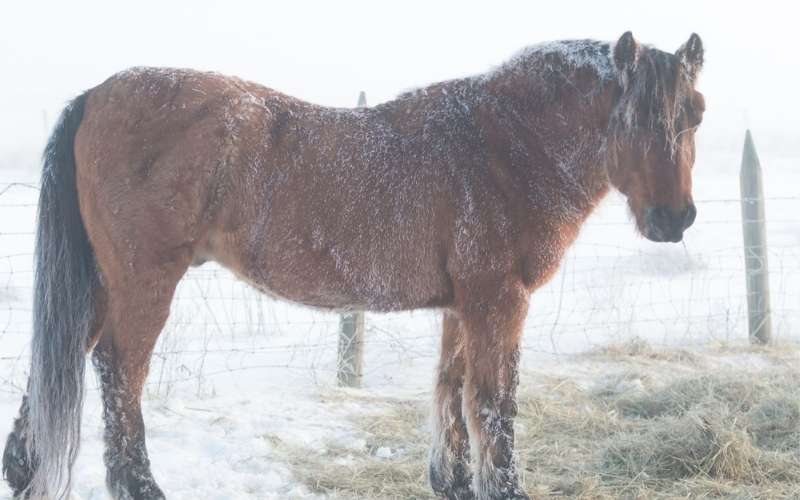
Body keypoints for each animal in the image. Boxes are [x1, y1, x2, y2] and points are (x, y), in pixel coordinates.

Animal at [2, 31, 704, 500]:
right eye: (633, 116)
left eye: (694, 115)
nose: (673, 220)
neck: (503, 144)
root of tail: (97, 95)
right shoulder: (499, 301)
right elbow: (494, 403)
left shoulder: (464, 303)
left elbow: (450, 388)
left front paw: (450, 481)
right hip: (144, 280)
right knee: (120, 371)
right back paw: (138, 485)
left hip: (102, 284)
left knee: (66, 351)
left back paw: (24, 468)